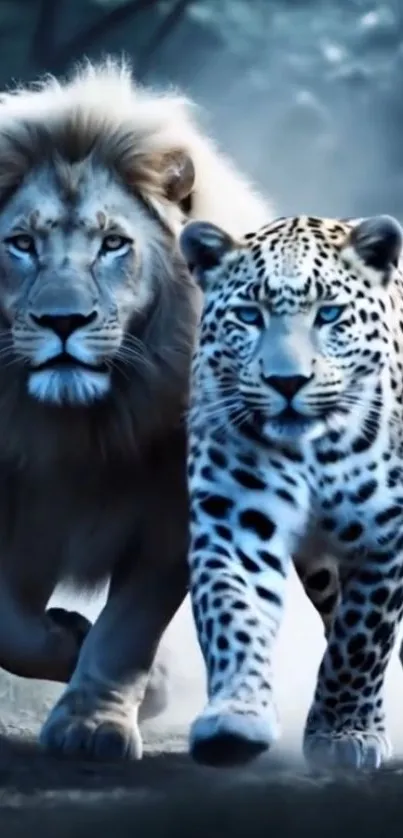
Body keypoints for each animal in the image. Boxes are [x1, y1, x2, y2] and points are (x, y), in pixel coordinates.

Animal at [0, 57, 274, 761]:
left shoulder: (174, 514)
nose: (63, 321)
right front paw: (67, 638)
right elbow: (10, 623)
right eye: (22, 244)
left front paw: (95, 722)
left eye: (113, 244)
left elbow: (129, 628)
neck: (78, 427)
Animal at [178, 212, 403, 771]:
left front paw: (343, 732)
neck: (315, 452)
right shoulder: (235, 522)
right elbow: (233, 614)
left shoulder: (387, 537)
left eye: (330, 314)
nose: (287, 382)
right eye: (248, 315)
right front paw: (236, 718)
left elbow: (361, 639)